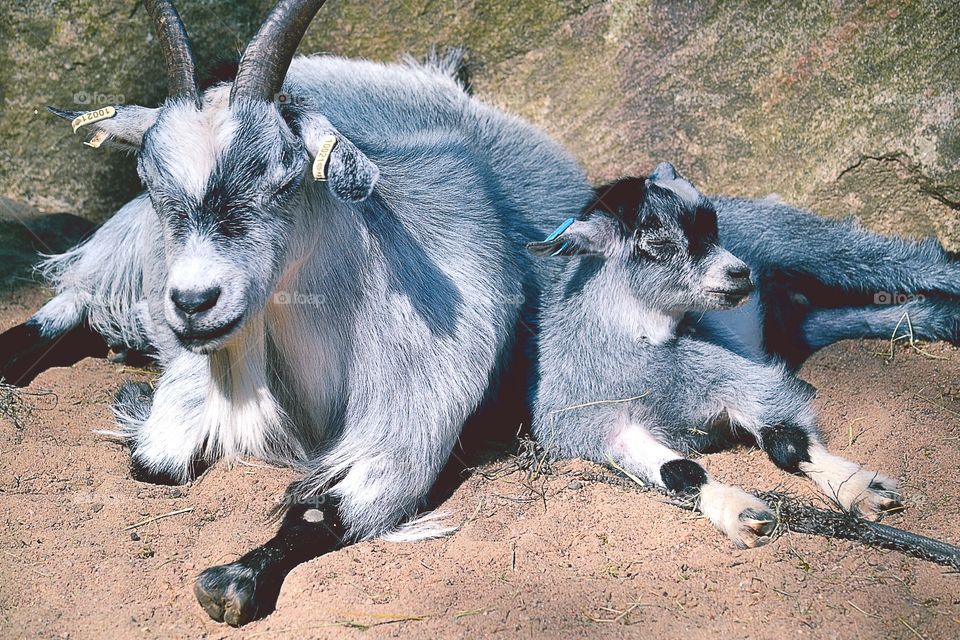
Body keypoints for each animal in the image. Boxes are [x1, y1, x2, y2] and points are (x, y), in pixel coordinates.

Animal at [528, 162, 960, 547]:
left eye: (713, 229)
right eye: (659, 244)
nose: (740, 272)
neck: (639, 361)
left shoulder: (741, 378)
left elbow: (787, 441)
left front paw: (860, 488)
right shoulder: (592, 427)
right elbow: (680, 470)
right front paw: (740, 513)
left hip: (804, 243)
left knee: (906, 259)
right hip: (798, 314)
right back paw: (941, 317)